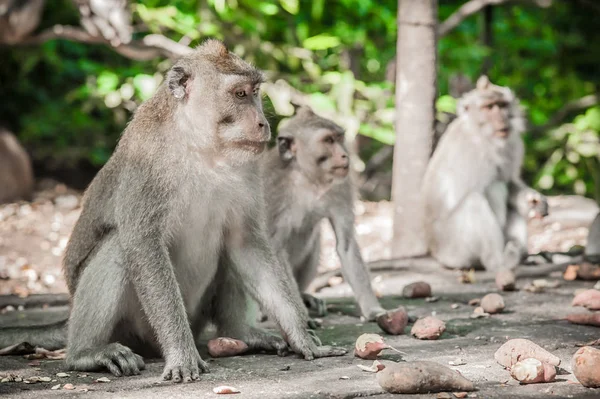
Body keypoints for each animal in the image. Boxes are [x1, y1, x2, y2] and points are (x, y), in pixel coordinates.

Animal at [262, 108, 384, 324]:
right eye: (328, 140)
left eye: (339, 138)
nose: (345, 155)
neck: (308, 178)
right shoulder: (272, 192)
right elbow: (274, 249)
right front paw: (300, 318)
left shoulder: (341, 186)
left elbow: (346, 245)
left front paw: (374, 310)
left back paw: (306, 297)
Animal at [422, 75, 548, 274]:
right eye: (489, 107)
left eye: (502, 105)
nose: (502, 118)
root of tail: (436, 253)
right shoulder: (477, 152)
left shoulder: (512, 144)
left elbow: (509, 181)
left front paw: (533, 202)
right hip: (456, 252)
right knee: (477, 199)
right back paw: (499, 262)